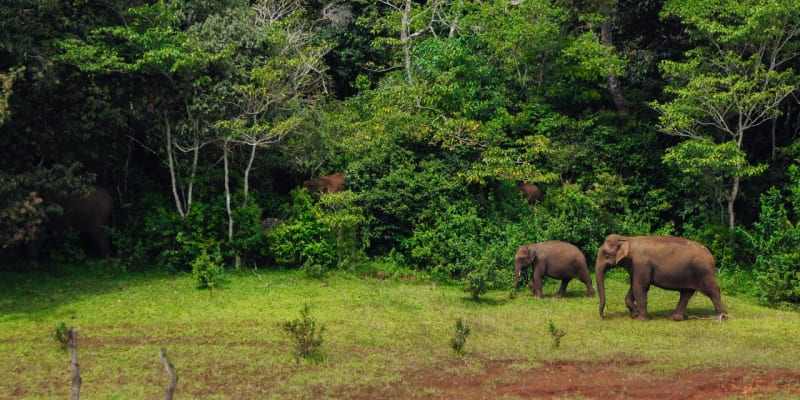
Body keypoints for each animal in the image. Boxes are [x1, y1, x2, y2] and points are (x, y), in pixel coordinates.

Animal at [595, 234, 727, 321]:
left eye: (605, 254)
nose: (604, 316)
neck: (628, 239)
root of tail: (711, 256)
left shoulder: (641, 263)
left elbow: (640, 287)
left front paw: (641, 319)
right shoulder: (634, 266)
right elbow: (634, 286)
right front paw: (635, 314)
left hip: (704, 271)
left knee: (713, 290)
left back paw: (722, 317)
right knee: (686, 293)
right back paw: (675, 318)